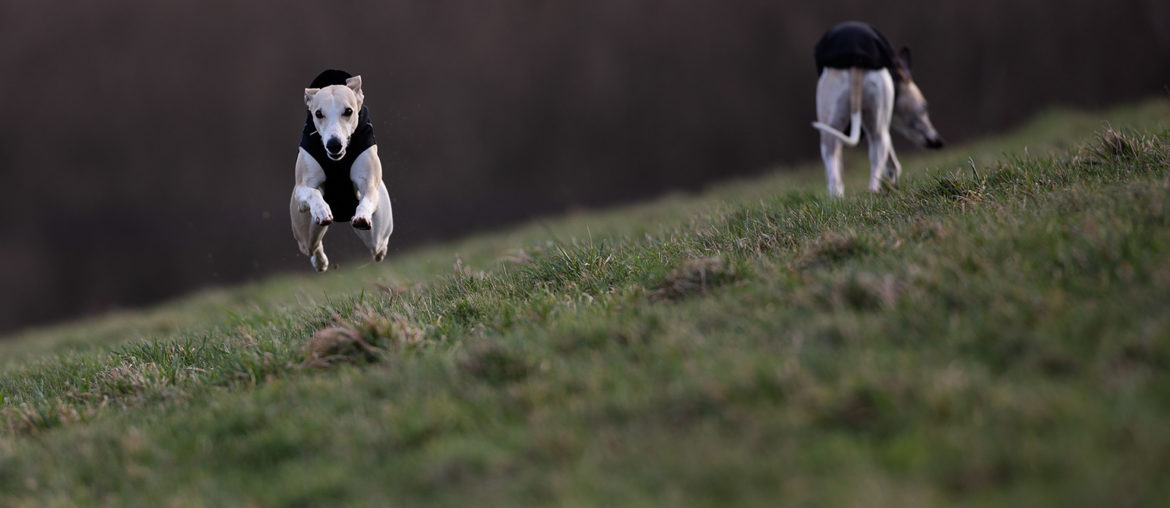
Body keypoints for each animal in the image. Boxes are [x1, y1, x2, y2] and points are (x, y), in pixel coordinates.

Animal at [287, 70, 393, 273]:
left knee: (378, 245)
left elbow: (367, 196)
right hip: (304, 231)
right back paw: (320, 262)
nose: (333, 145)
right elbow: (311, 192)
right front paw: (321, 209)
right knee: (312, 246)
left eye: (348, 111)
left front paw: (362, 215)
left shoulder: (369, 184)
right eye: (318, 113)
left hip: (378, 231)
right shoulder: (301, 189)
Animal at [819, 22, 945, 196]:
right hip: (879, 129)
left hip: (830, 128)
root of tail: (856, 59)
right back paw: (875, 190)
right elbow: (893, 165)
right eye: (924, 107)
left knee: (833, 168)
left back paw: (837, 198)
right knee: (877, 164)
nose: (938, 142)